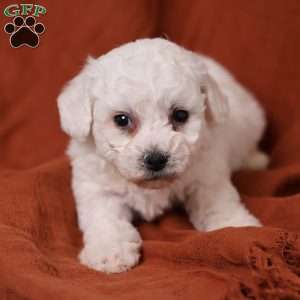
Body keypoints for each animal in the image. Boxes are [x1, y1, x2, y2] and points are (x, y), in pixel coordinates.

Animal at [57, 38, 268, 274]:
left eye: (180, 115)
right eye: (121, 119)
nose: (156, 159)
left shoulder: (207, 175)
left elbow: (217, 201)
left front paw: (236, 226)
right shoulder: (97, 188)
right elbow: (105, 219)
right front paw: (110, 251)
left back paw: (256, 160)